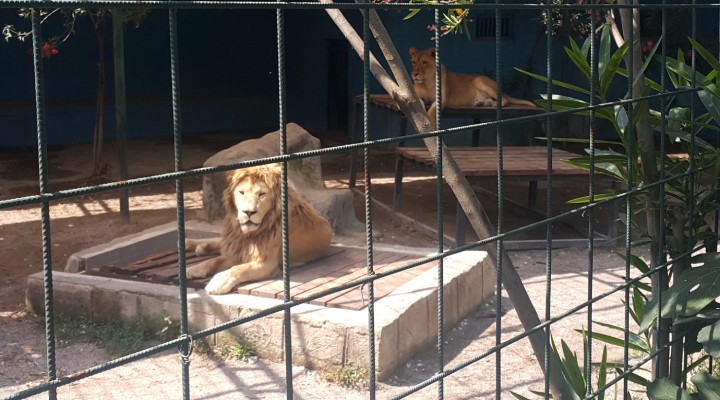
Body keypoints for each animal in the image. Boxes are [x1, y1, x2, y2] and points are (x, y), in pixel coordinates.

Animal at [186, 163, 332, 294]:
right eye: (241, 193)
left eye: (262, 194)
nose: (248, 212)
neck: (248, 235)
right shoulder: (238, 250)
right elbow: (214, 261)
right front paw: (193, 269)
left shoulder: (266, 263)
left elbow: (238, 269)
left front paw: (218, 282)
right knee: (219, 242)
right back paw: (193, 244)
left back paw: (201, 248)